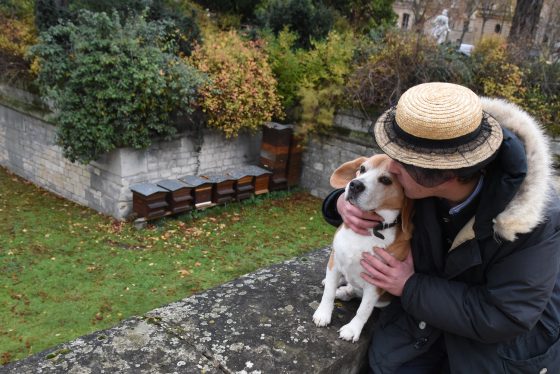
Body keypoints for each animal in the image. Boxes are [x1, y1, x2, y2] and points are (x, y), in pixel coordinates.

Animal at [312, 153, 414, 342]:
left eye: (386, 180)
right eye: (363, 169)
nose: (355, 185)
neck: (369, 231)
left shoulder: (377, 282)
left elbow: (364, 309)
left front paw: (353, 329)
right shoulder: (334, 261)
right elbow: (328, 292)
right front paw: (323, 314)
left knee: (356, 293)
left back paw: (344, 291)